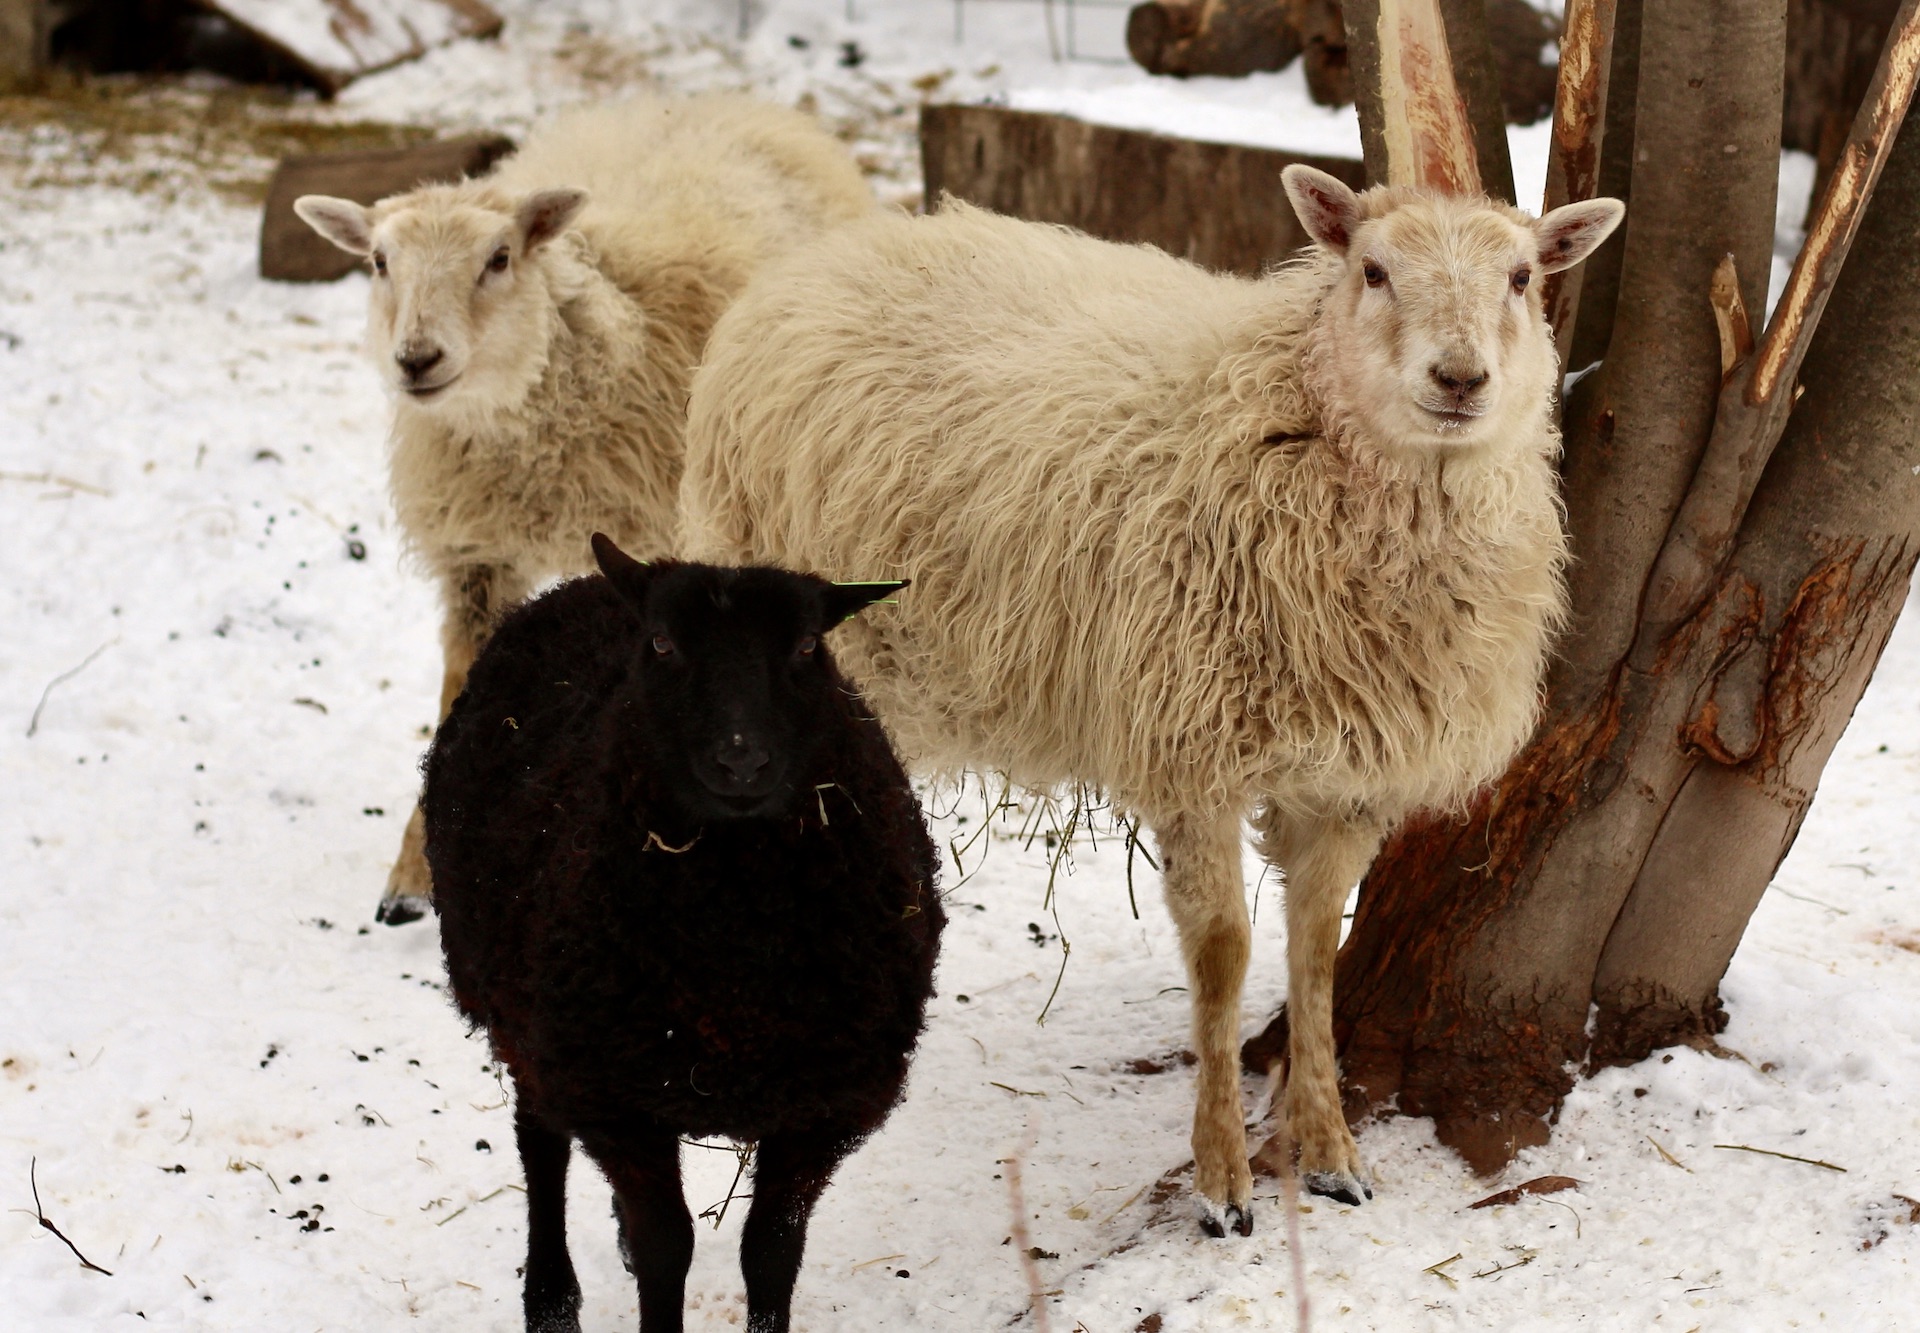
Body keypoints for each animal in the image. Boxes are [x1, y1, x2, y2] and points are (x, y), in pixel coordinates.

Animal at [293, 95, 875, 926]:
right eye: (378, 261)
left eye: (499, 258)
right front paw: (413, 874)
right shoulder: (477, 558)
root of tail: (723, 100)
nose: (416, 359)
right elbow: (456, 697)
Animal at [423, 535, 940, 1333]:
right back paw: (550, 1301)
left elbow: (772, 1248)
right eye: (664, 643)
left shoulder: (820, 1105)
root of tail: (585, 585)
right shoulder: (614, 1096)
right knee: (540, 1143)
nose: (741, 759)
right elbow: (666, 1244)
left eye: (805, 645)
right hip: (529, 1021)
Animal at [677, 168, 1623, 1234]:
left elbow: (1315, 950)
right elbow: (1223, 954)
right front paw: (1221, 1182)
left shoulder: (1348, 778)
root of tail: (819, 258)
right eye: (1374, 270)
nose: (1460, 380)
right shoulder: (1193, 754)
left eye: (1521, 277)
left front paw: (1332, 1151)